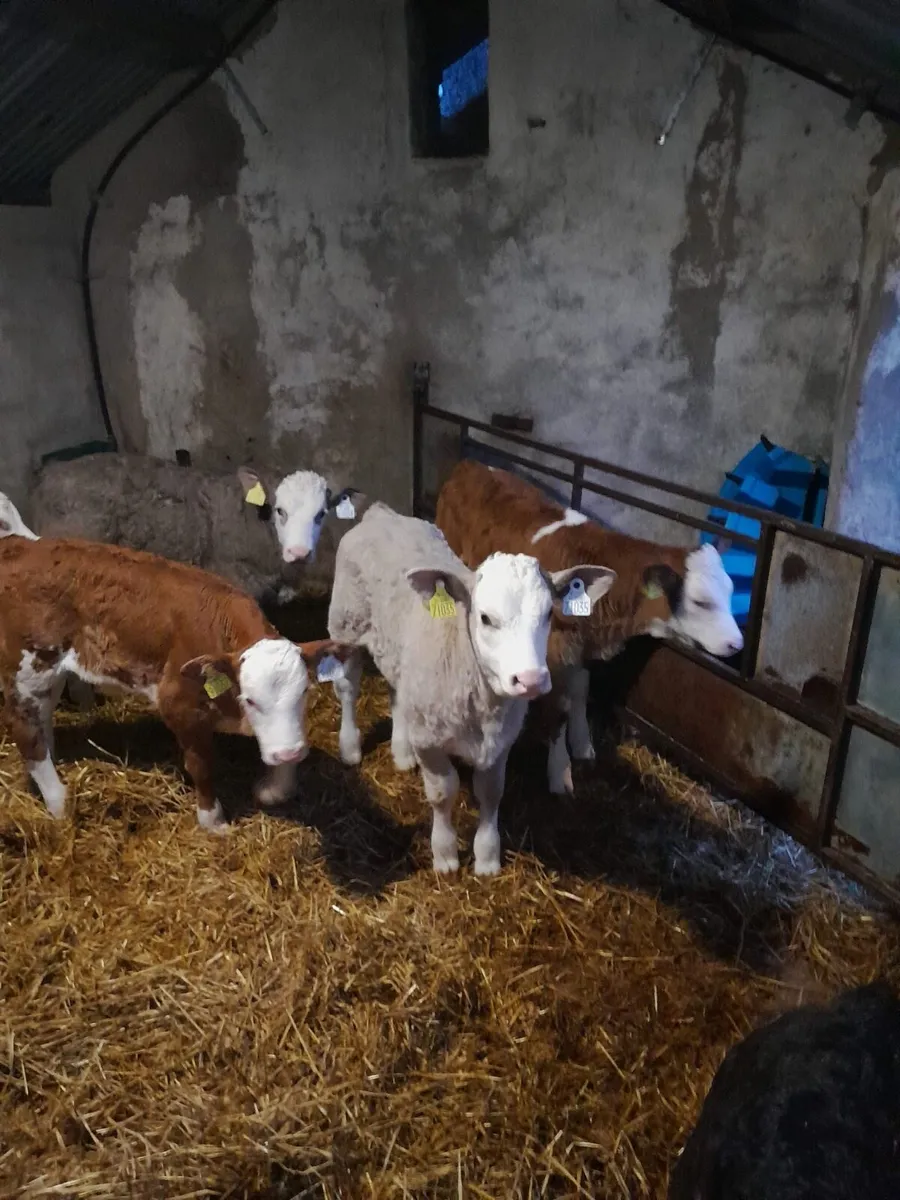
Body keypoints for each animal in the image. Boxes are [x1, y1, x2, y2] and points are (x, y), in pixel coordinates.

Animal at [0, 536, 349, 832]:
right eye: (250, 699)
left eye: (304, 692)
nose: (287, 753)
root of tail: (21, 545)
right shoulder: (179, 706)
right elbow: (202, 765)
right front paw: (213, 821)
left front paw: (272, 790)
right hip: (28, 667)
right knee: (25, 732)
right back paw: (60, 802)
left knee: (42, 718)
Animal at [327, 502, 615, 875]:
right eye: (486, 618)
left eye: (549, 615)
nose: (531, 679)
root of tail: (381, 514)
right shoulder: (431, 742)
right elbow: (442, 792)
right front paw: (445, 854)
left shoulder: (500, 740)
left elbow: (491, 792)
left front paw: (488, 857)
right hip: (346, 624)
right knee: (347, 689)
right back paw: (350, 747)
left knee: (397, 693)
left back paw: (402, 752)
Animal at [435, 459, 743, 794]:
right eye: (701, 602)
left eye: (731, 591)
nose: (737, 644)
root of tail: (471, 465)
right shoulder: (553, 652)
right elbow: (559, 708)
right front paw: (560, 772)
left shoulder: (580, 646)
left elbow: (581, 690)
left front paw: (582, 743)